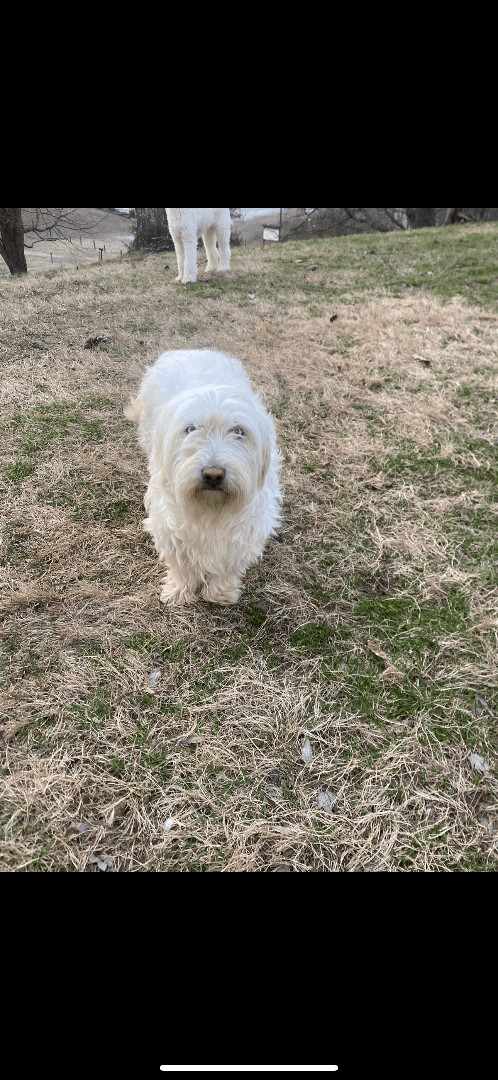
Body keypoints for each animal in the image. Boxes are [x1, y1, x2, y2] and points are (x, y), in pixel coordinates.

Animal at [125, 349, 278, 604]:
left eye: (239, 431)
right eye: (191, 429)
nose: (213, 475)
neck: (210, 509)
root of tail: (188, 350)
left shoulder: (244, 532)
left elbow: (228, 566)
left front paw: (220, 592)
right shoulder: (169, 525)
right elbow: (181, 565)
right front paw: (179, 591)